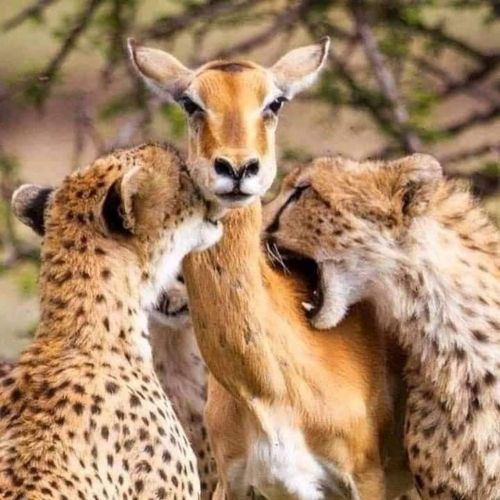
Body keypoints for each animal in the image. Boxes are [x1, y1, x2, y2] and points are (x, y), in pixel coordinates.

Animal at [129, 39, 392, 499]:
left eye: (275, 101)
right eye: (189, 102)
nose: (236, 168)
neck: (266, 391)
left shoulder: (365, 478)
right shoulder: (237, 482)